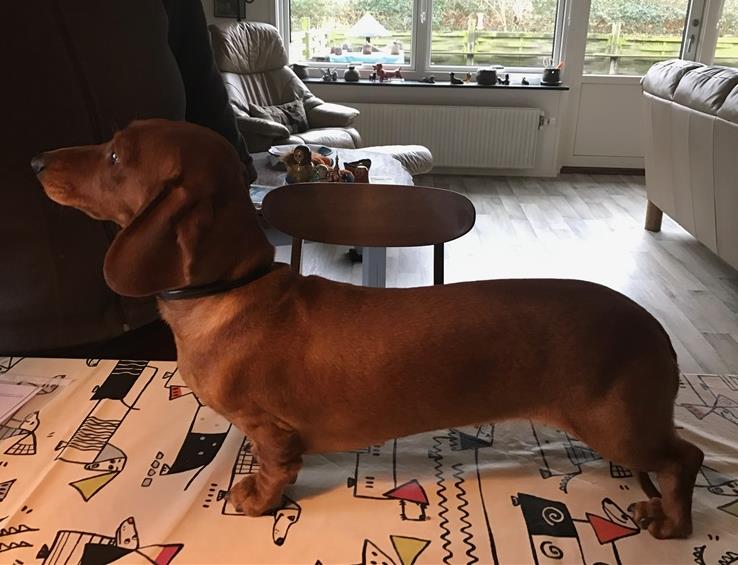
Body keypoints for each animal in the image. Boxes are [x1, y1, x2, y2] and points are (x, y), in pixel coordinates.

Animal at [33, 119, 703, 539]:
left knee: (685, 458)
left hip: (614, 426)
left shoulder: (270, 429)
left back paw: (672, 522)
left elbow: (275, 469)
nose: (36, 159)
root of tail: (655, 329)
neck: (231, 294)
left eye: (115, 156)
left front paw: (256, 500)